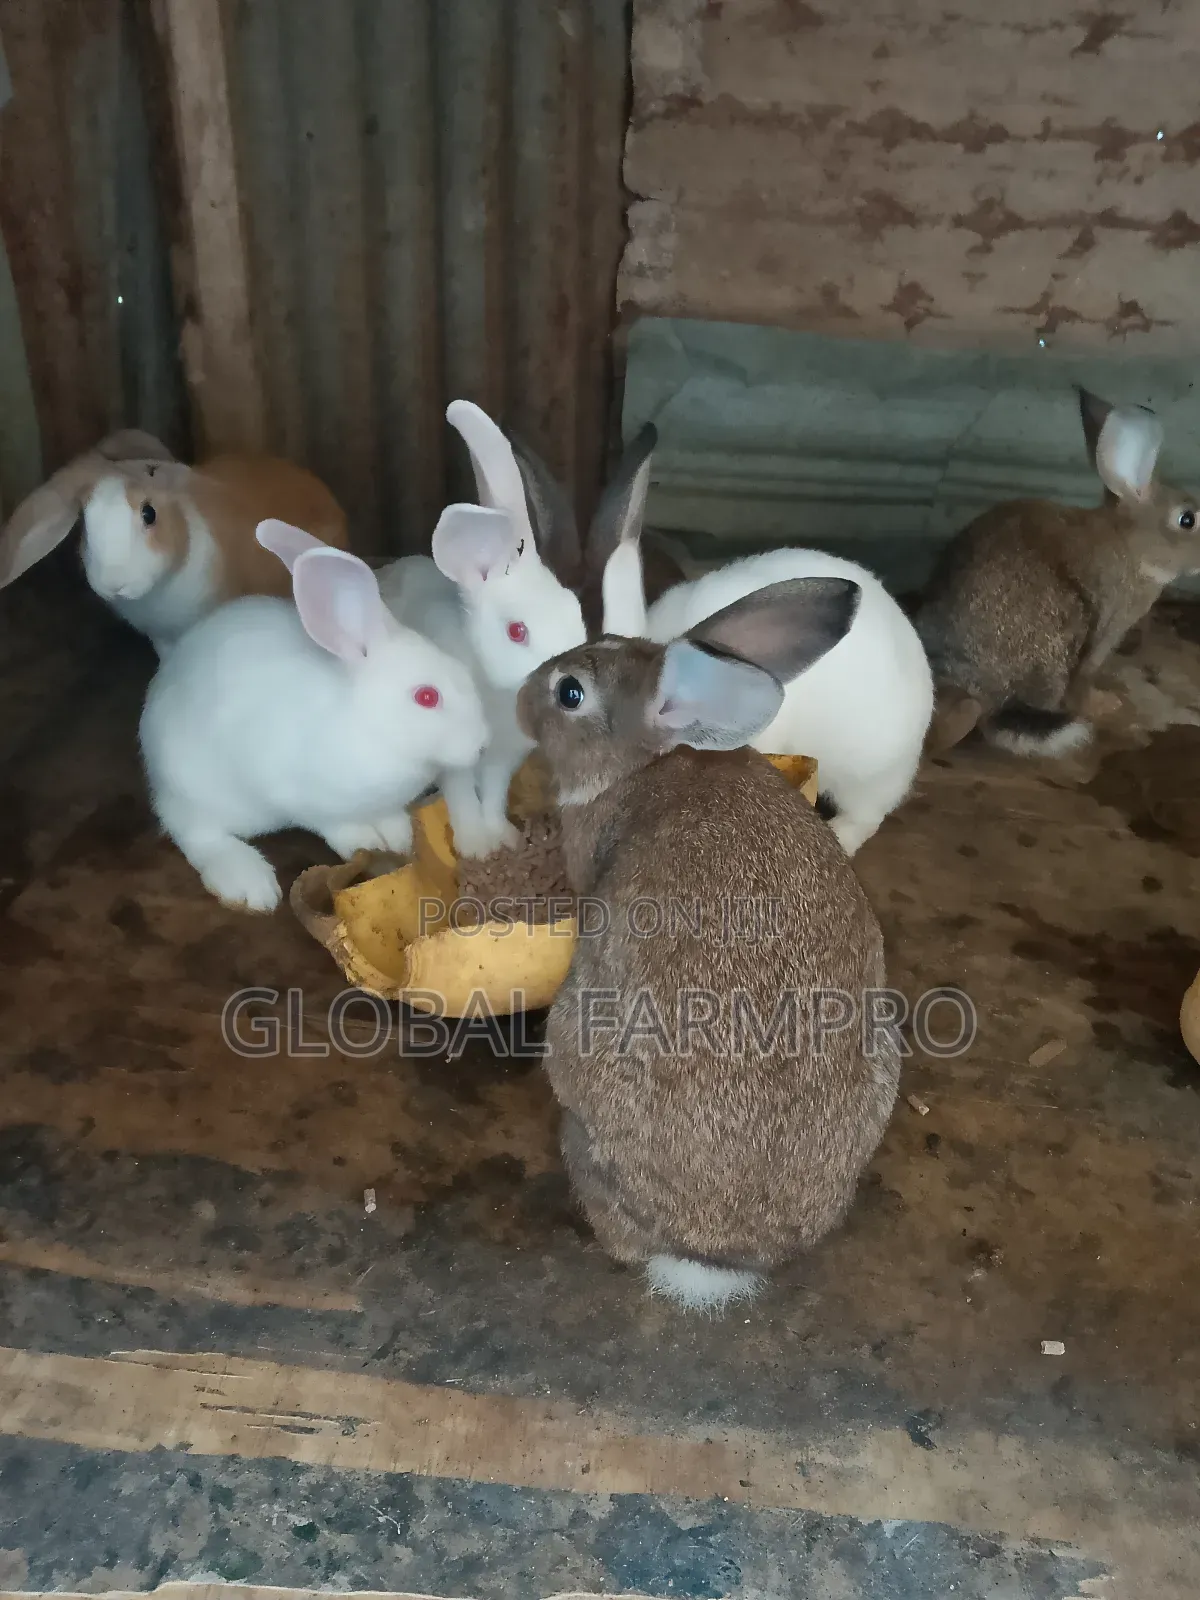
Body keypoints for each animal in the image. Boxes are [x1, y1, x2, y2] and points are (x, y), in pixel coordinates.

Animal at [139, 519, 487, 913]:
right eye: (427, 697)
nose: (481, 744)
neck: (371, 724)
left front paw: (396, 835)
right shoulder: (292, 790)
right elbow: (329, 823)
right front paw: (362, 838)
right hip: (195, 786)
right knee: (195, 831)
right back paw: (250, 883)